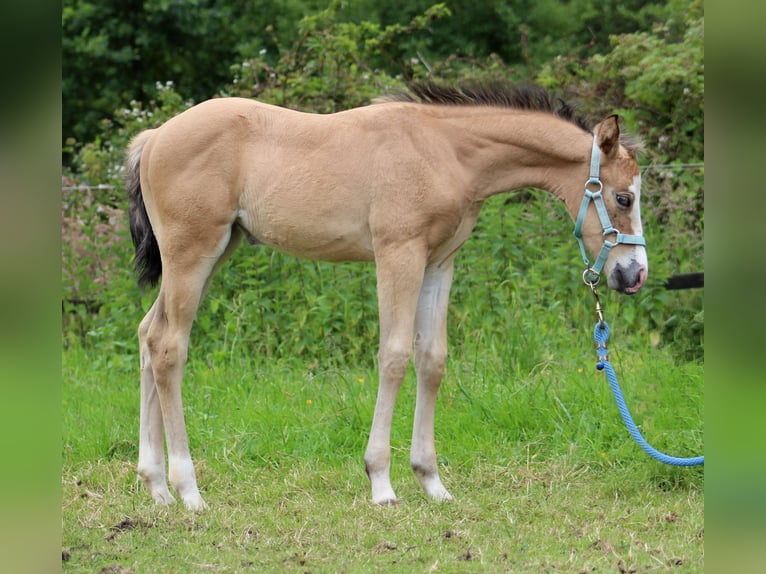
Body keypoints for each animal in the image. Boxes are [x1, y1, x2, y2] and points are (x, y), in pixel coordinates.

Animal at [126, 80, 648, 508]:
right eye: (623, 197)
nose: (634, 275)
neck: (446, 150)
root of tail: (153, 138)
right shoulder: (399, 253)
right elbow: (394, 355)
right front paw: (381, 482)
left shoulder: (439, 262)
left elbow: (432, 359)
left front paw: (432, 481)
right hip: (192, 253)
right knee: (169, 347)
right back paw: (189, 491)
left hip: (215, 252)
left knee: (149, 335)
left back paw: (156, 486)